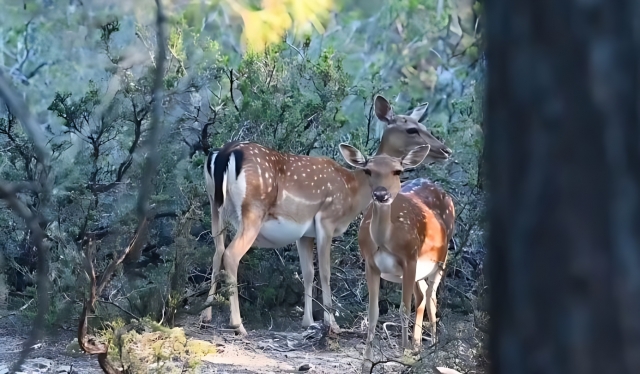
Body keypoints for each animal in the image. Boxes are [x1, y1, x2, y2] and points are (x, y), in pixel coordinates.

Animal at [202, 95, 452, 334]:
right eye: (411, 129)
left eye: (422, 124)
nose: (445, 150)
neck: (353, 190)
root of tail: (223, 155)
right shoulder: (327, 219)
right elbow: (325, 272)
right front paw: (332, 324)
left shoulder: (304, 233)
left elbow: (308, 272)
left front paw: (308, 322)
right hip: (253, 210)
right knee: (231, 255)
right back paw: (237, 324)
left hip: (215, 205)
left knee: (217, 252)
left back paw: (206, 315)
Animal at [340, 142, 456, 372]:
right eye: (368, 170)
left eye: (398, 171)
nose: (381, 194)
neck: (386, 240)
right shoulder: (370, 264)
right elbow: (373, 312)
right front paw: (366, 363)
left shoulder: (409, 258)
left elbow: (403, 308)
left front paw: (403, 355)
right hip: (420, 270)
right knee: (422, 296)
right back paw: (418, 347)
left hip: (441, 259)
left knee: (431, 296)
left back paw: (433, 347)